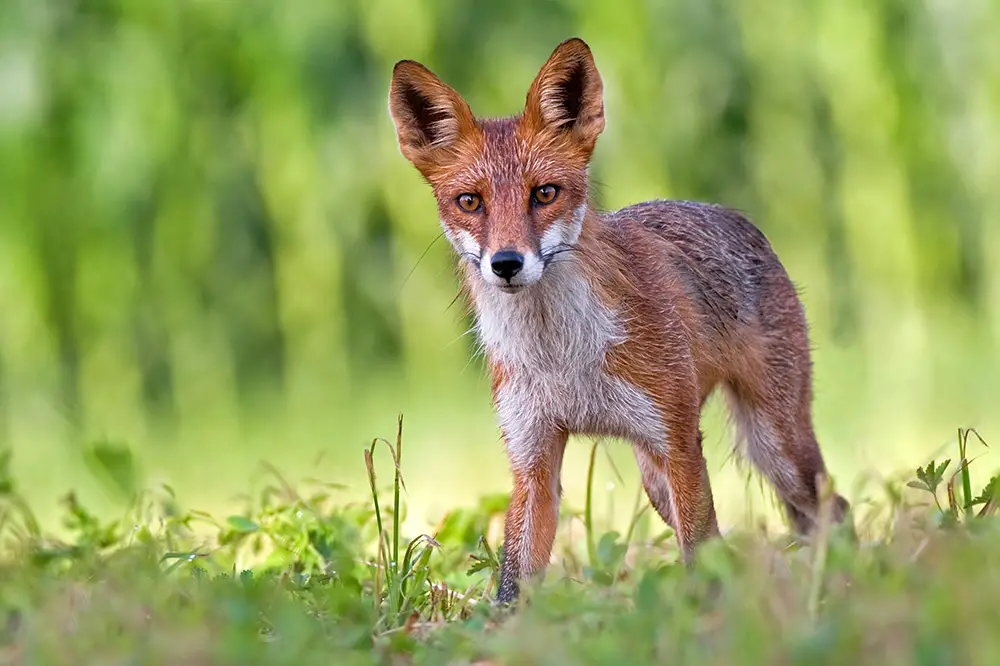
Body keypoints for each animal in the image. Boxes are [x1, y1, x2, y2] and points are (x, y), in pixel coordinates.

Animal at [386, 36, 848, 600]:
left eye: (544, 193)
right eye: (469, 201)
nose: (507, 263)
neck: (561, 355)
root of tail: (734, 215)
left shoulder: (679, 442)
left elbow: (698, 548)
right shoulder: (532, 458)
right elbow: (514, 580)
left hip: (771, 444)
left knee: (830, 509)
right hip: (656, 479)